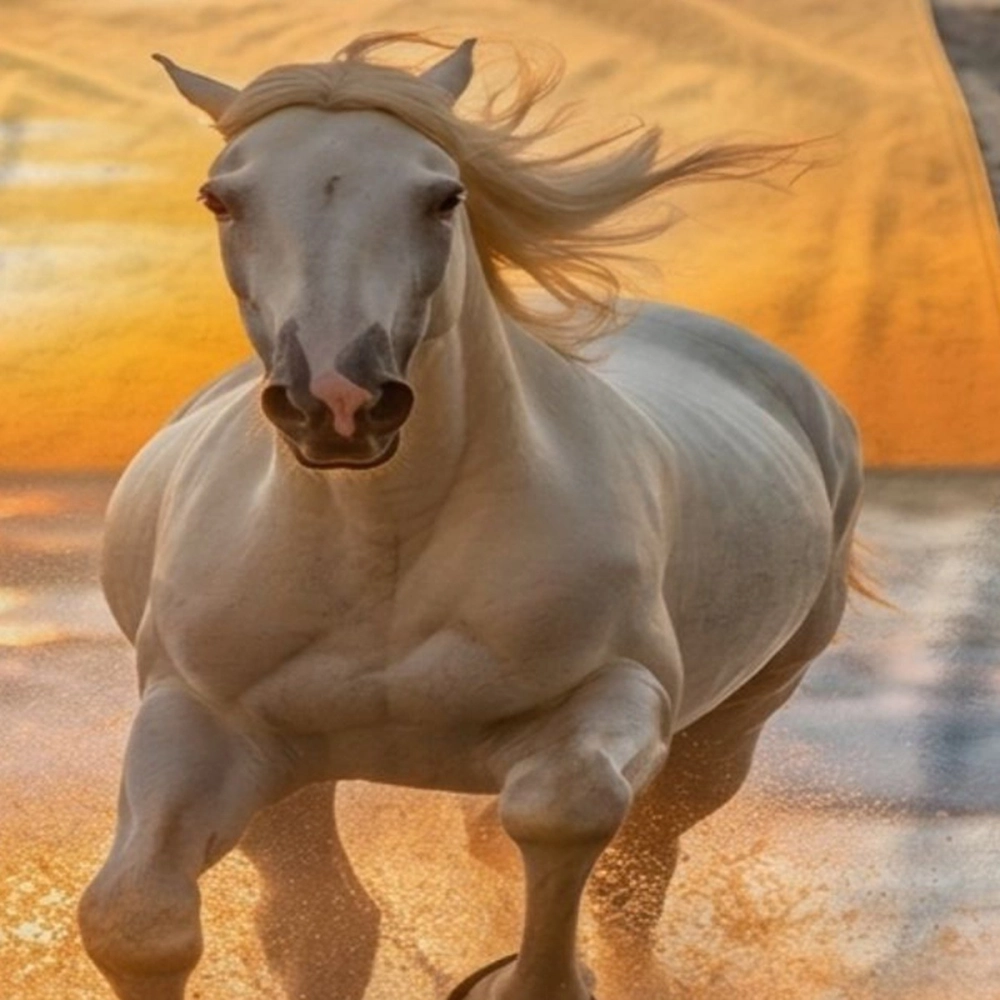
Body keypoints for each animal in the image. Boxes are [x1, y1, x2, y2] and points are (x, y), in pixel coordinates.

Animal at [78, 34, 866, 1000]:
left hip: (729, 730)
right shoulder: (204, 722)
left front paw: (514, 978)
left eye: (443, 196)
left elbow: (563, 807)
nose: (338, 402)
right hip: (293, 782)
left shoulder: (619, 692)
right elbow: (138, 921)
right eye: (220, 197)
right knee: (332, 916)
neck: (387, 546)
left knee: (630, 885)